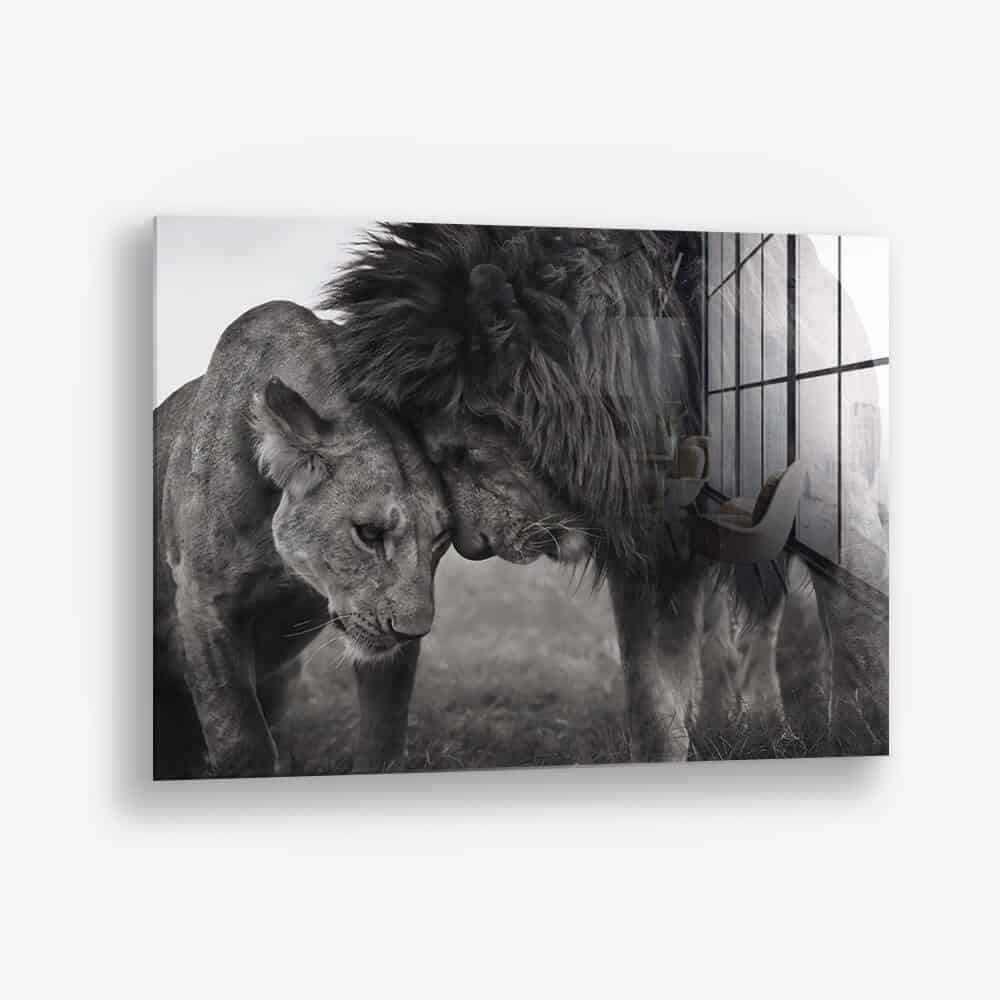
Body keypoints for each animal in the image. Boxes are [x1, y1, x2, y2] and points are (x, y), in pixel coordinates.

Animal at [154, 301, 451, 779]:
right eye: (369, 533)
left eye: (441, 536)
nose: (413, 631)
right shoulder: (203, 600)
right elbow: (238, 736)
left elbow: (385, 733)